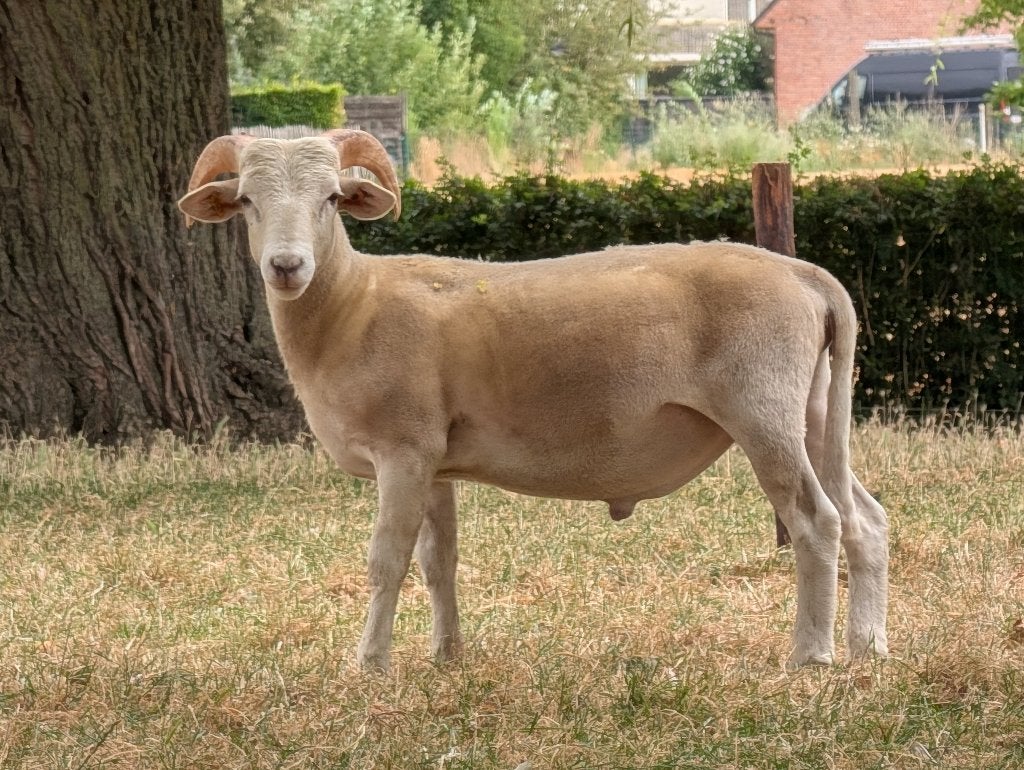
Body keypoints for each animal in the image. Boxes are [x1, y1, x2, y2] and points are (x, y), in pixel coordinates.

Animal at [178, 129, 889, 673]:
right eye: (246, 201)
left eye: (330, 199)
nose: (287, 266)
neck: (354, 306)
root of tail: (804, 274)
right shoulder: (433, 460)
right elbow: (439, 562)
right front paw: (447, 656)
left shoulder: (401, 450)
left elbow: (387, 560)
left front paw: (371, 664)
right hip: (814, 411)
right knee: (867, 519)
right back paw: (870, 645)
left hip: (763, 411)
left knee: (816, 522)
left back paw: (811, 655)